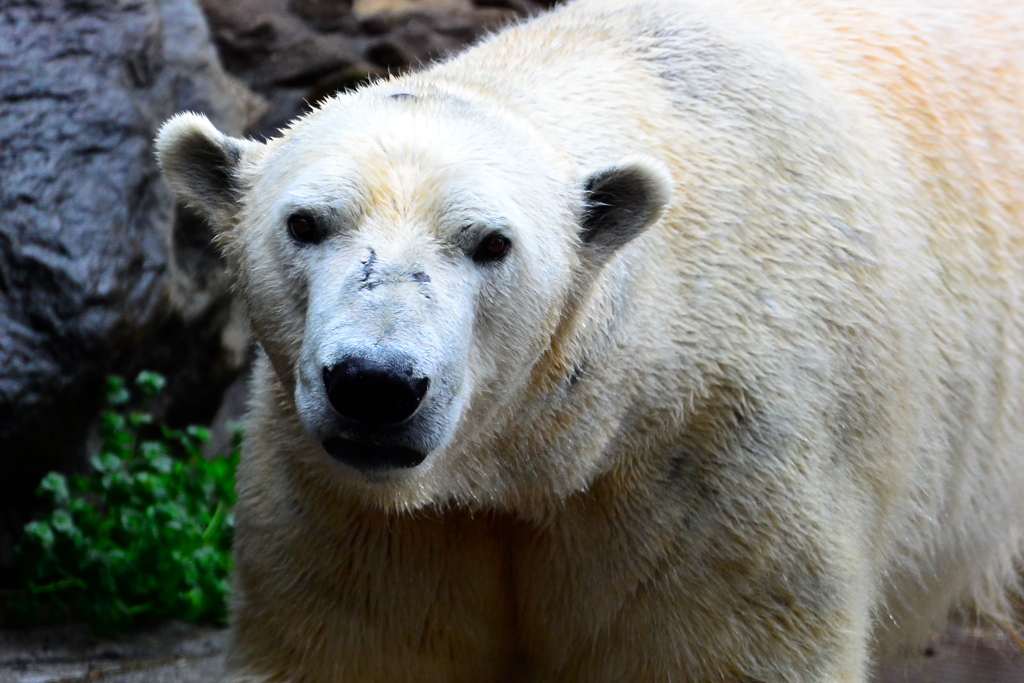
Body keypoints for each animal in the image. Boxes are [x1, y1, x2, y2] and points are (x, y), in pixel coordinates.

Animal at [155, 0, 1024, 679]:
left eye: (491, 243)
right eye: (304, 223)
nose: (375, 383)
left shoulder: (717, 461)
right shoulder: (352, 501)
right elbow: (360, 645)